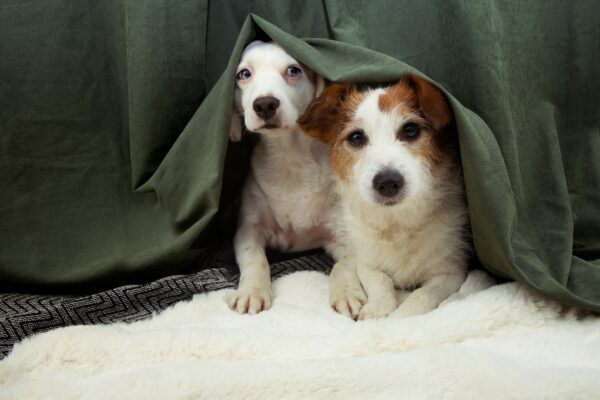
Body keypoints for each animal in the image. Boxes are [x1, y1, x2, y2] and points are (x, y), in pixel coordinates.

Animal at [229, 41, 350, 316]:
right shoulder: (248, 230)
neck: (290, 161)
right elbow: (255, 259)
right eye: (244, 74)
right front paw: (252, 291)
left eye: (293, 70)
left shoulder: (342, 235)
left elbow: (346, 265)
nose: (265, 104)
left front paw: (348, 293)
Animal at [298, 74, 468, 318]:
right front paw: (378, 308)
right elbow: (380, 279)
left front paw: (401, 317)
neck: (396, 224)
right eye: (356, 137)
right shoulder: (367, 261)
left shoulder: (451, 272)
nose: (388, 182)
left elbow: (423, 294)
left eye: (410, 130)